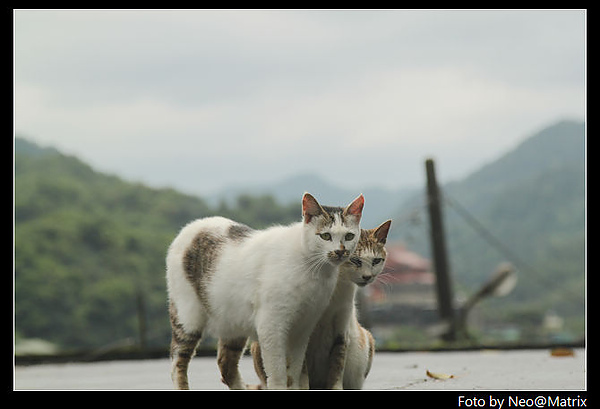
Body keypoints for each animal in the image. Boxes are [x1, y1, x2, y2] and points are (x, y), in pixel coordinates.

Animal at [164, 192, 364, 388]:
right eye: (325, 236)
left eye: (349, 236)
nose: (340, 251)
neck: (314, 270)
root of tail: (191, 227)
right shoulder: (271, 327)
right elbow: (278, 374)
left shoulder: (302, 330)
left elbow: (293, 373)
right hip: (188, 317)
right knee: (177, 363)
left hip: (233, 321)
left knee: (226, 365)